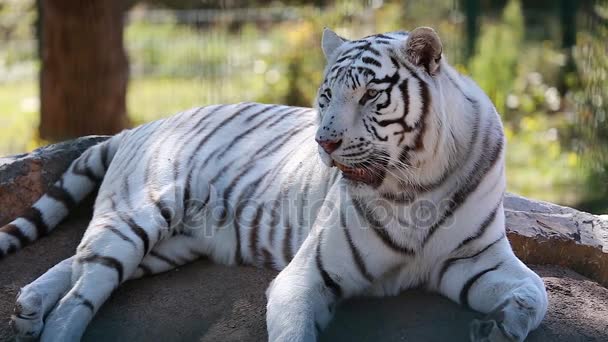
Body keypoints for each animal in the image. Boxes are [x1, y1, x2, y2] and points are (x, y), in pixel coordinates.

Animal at [1, 28, 552, 340]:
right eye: (326, 96)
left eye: (370, 96)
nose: (324, 142)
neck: (417, 183)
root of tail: (136, 127)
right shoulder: (307, 274)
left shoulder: (474, 260)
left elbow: (536, 294)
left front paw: (503, 326)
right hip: (139, 214)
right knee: (79, 291)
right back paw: (42, 319)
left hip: (165, 244)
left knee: (79, 265)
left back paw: (28, 308)